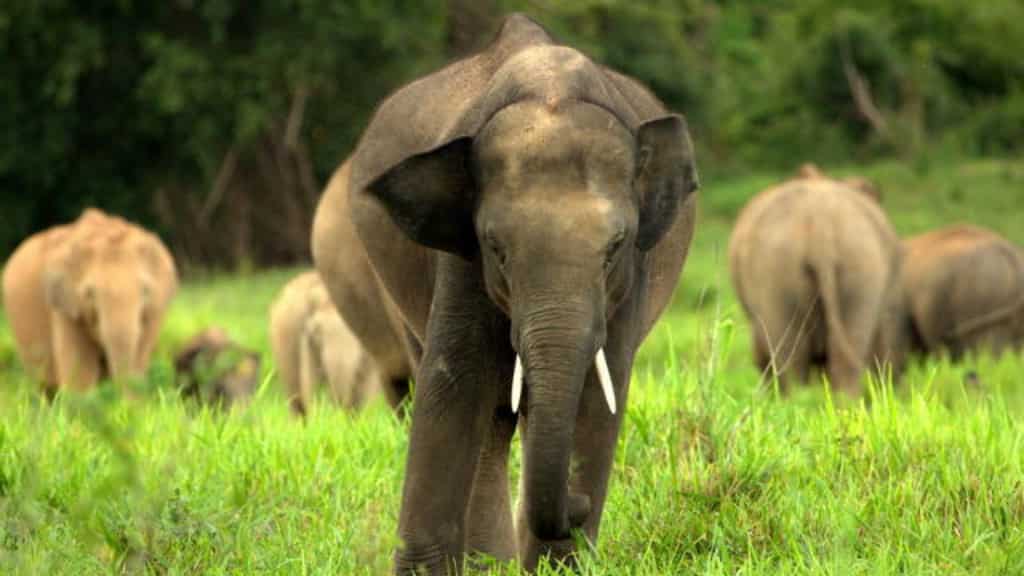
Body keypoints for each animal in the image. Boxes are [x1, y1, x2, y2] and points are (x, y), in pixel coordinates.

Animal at [2, 208, 178, 394]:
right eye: (90, 294)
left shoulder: (153, 311)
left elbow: (139, 359)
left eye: (145, 291)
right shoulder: (66, 306)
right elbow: (80, 372)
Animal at [311, 14, 699, 574]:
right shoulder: (462, 259)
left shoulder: (633, 278)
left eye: (615, 247)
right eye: (497, 248)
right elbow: (452, 387)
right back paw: (489, 561)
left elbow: (597, 397)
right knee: (486, 416)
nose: (578, 506)